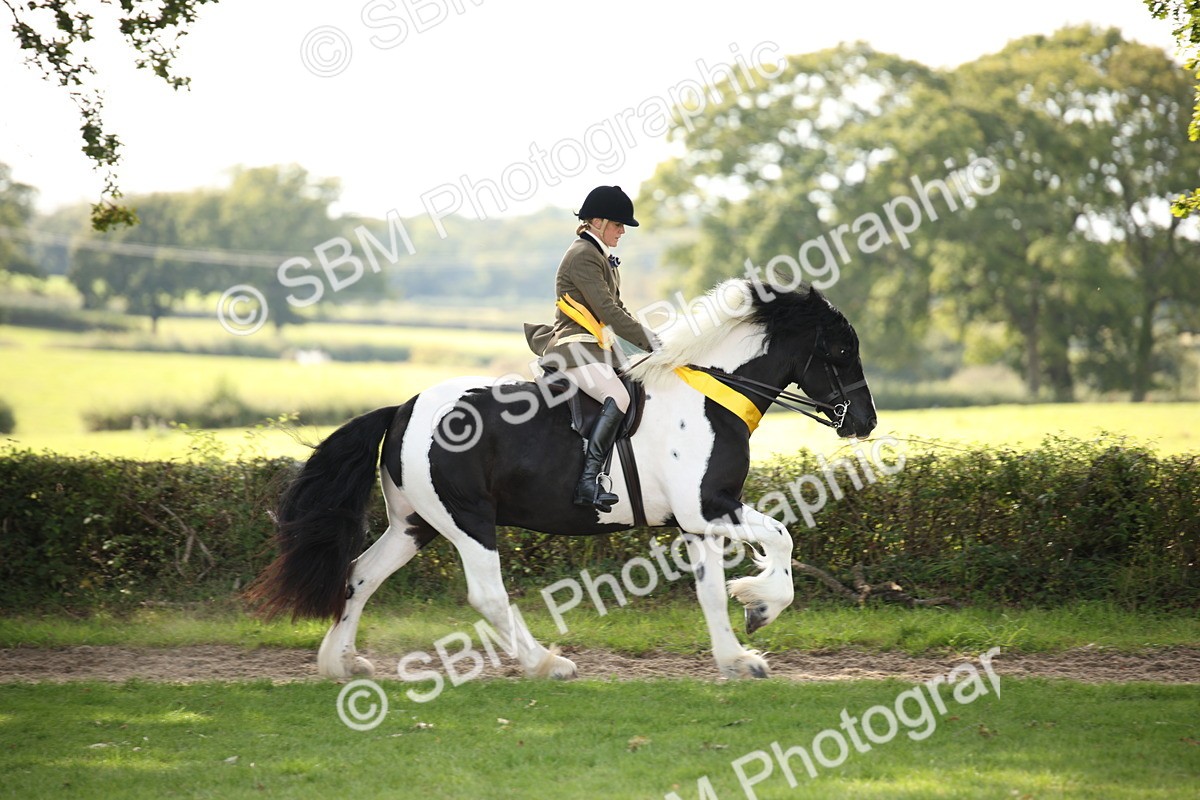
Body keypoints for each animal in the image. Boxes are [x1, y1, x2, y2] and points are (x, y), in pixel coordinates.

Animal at [247, 278, 877, 680]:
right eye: (842, 350)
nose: (865, 422)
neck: (712, 393)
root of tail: (403, 408)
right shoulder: (708, 506)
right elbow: (780, 537)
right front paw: (760, 604)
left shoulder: (699, 522)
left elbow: (711, 592)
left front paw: (737, 654)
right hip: (467, 519)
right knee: (486, 594)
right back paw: (547, 664)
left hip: (414, 524)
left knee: (360, 575)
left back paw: (339, 663)